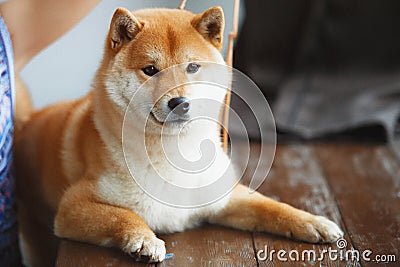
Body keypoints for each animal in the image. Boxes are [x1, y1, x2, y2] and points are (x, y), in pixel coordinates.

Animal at [14, 6, 342, 267]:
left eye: (192, 67)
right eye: (150, 70)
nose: (179, 102)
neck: (173, 156)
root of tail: (28, 121)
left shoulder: (225, 198)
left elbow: (271, 206)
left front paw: (313, 221)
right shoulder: (73, 205)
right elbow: (123, 216)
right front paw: (144, 240)